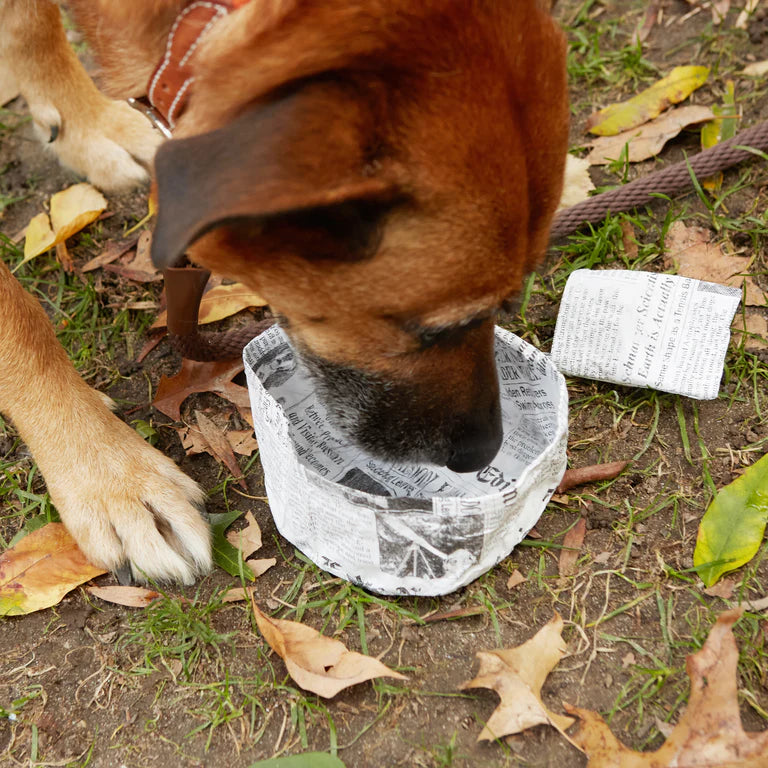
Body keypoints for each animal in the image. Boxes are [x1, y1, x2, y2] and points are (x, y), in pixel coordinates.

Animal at [0, 0, 564, 584]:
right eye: (434, 329)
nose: (486, 453)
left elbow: (31, 22)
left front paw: (85, 123)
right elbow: (19, 321)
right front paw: (111, 479)